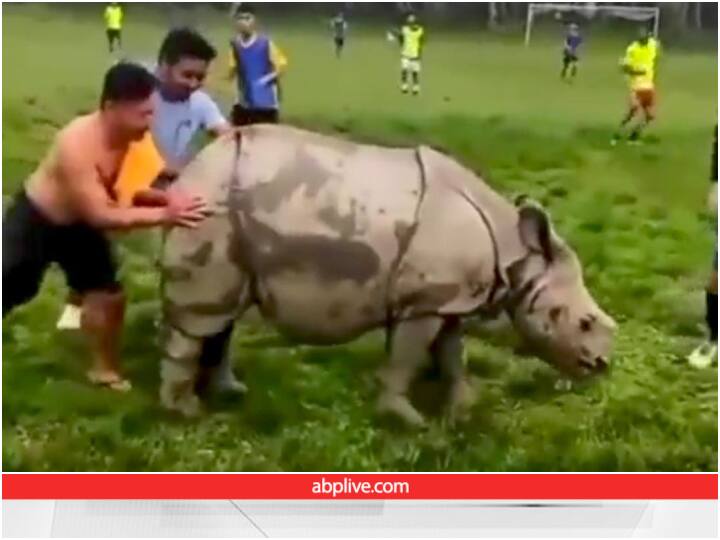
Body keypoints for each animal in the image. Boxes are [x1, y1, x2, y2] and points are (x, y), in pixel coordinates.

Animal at [159, 125, 616, 425]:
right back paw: (184, 413)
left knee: (223, 315)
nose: (601, 365)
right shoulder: (423, 304)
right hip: (209, 208)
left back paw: (229, 394)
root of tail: (196, 163)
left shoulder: (448, 297)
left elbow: (452, 354)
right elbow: (406, 357)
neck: (516, 253)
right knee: (201, 315)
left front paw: (461, 409)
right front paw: (407, 419)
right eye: (583, 322)